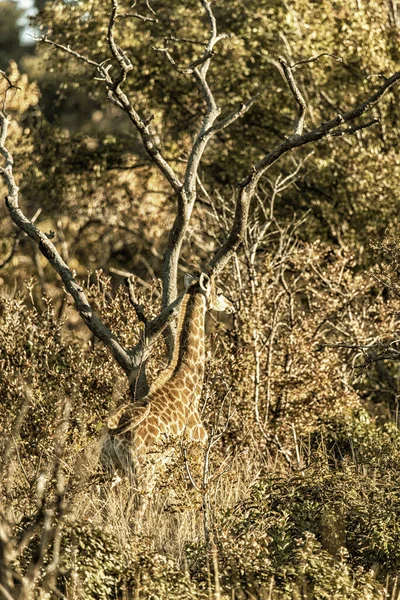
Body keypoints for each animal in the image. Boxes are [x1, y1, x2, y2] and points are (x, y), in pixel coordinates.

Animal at [99, 272, 234, 510]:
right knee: (136, 510)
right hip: (142, 472)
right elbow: (196, 497)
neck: (191, 387)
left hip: (110, 470)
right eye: (219, 291)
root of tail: (114, 430)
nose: (231, 306)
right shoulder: (197, 450)